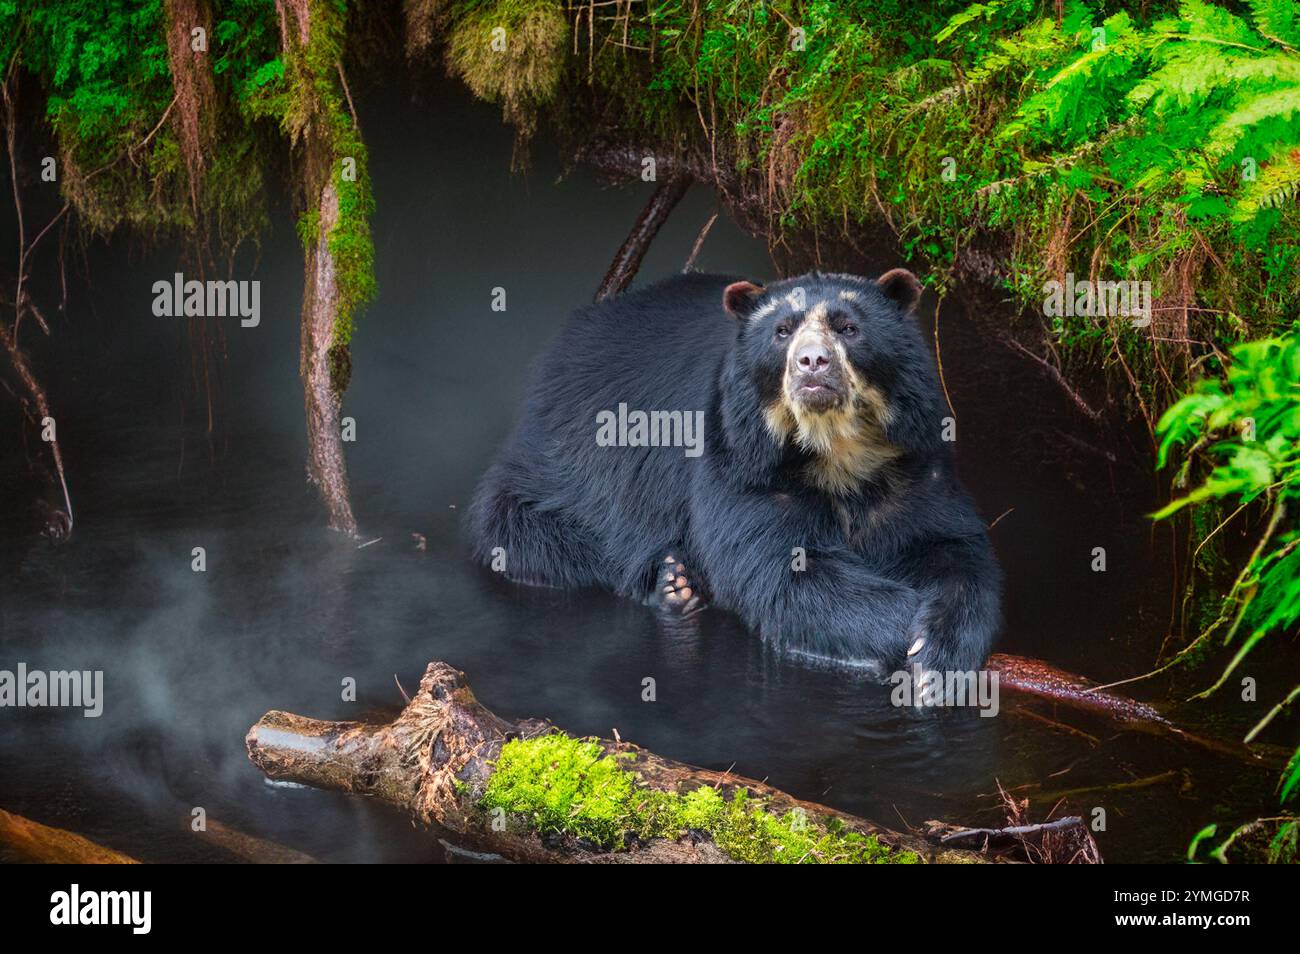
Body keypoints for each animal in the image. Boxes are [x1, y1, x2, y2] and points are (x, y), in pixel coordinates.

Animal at [467, 269, 1001, 674]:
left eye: (848, 327)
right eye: (782, 331)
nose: (812, 363)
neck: (834, 449)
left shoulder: (912, 459)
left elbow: (950, 544)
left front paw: (939, 649)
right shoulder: (741, 458)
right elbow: (777, 570)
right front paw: (904, 634)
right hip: (564, 465)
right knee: (524, 533)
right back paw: (674, 585)